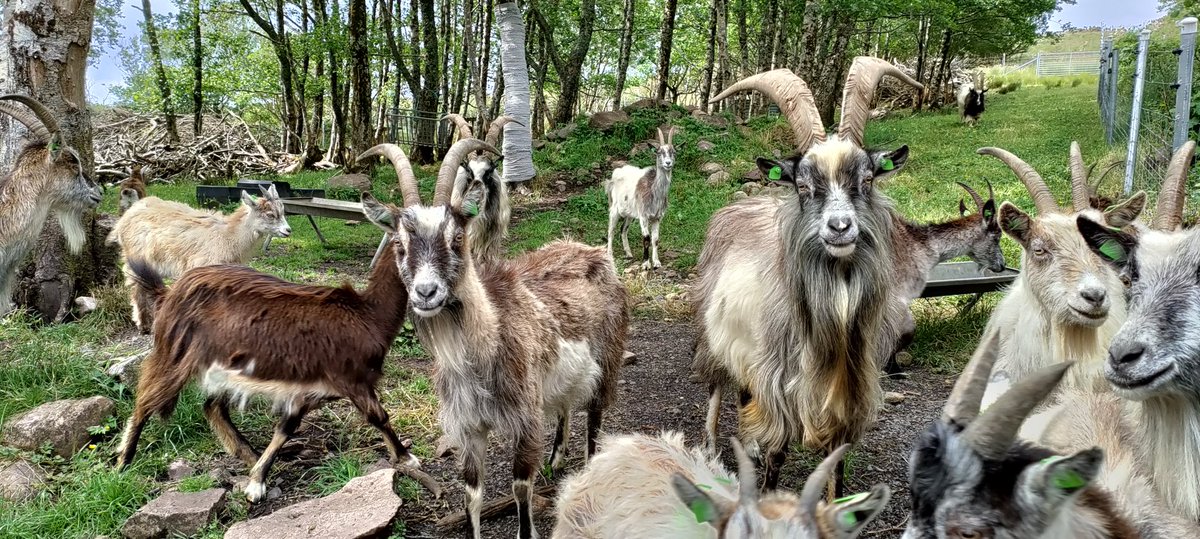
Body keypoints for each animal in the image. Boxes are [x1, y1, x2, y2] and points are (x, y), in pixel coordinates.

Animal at [108, 184, 293, 331]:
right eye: (270, 214)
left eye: (282, 211)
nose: (288, 230)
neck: (228, 236)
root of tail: (123, 220)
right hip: (133, 258)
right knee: (135, 288)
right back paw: (143, 325)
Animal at [362, 137, 628, 539]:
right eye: (399, 246)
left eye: (457, 239)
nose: (426, 292)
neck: (486, 347)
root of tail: (592, 251)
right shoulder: (469, 425)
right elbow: (472, 494)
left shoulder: (525, 417)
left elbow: (520, 487)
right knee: (565, 405)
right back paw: (557, 457)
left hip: (608, 359)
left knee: (595, 418)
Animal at [606, 126, 677, 269]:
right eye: (659, 152)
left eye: (673, 152)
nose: (668, 163)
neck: (654, 192)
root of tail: (616, 172)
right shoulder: (643, 216)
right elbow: (646, 238)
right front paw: (645, 263)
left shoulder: (657, 217)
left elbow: (655, 239)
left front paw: (656, 262)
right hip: (614, 209)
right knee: (611, 230)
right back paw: (610, 254)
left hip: (630, 212)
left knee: (623, 229)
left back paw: (628, 253)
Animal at [695, 57, 922, 498]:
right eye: (802, 185)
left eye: (867, 180)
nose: (840, 227)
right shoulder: (778, 385)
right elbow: (778, 453)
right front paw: (766, 495)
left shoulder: (850, 391)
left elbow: (836, 463)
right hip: (714, 338)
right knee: (716, 389)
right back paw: (713, 449)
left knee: (741, 395)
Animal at [883, 181, 1006, 371]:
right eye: (997, 236)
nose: (1002, 265)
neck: (917, 243)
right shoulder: (896, 295)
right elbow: (905, 332)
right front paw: (892, 369)